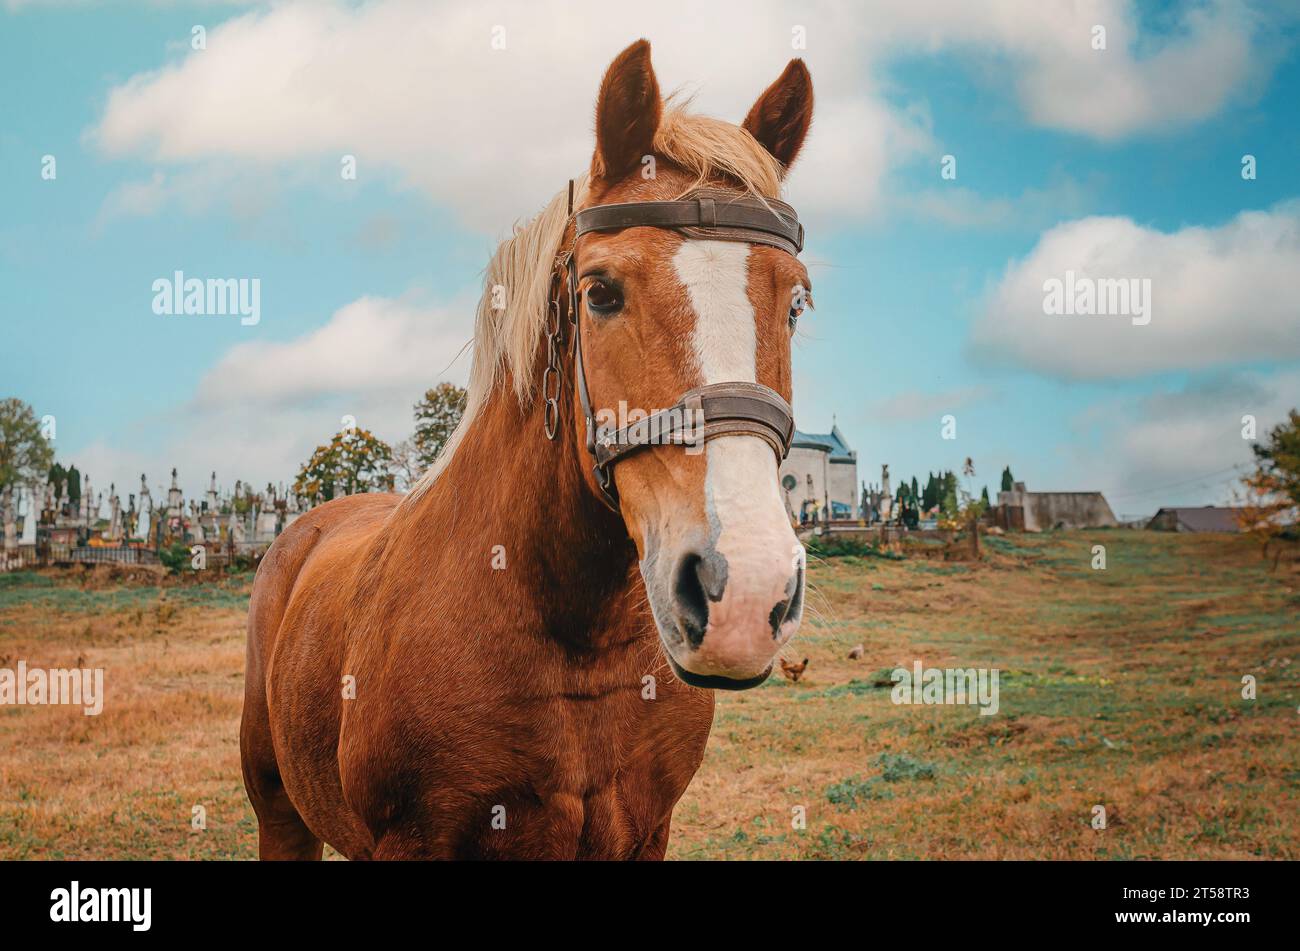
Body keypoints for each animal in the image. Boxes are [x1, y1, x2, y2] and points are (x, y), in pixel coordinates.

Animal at [240, 39, 815, 860]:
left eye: (795, 302)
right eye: (600, 292)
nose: (745, 591)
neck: (570, 641)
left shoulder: (648, 831)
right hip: (278, 811)